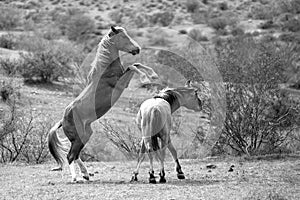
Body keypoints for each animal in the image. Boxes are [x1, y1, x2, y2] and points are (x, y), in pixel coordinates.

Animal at [47, 25, 157, 182]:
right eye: (123, 37)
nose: (137, 49)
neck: (105, 69)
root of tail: (62, 120)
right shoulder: (121, 83)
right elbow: (133, 66)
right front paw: (145, 78)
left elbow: (136, 64)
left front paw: (153, 74)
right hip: (79, 138)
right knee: (70, 156)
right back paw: (75, 178)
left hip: (84, 136)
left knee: (76, 155)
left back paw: (86, 174)